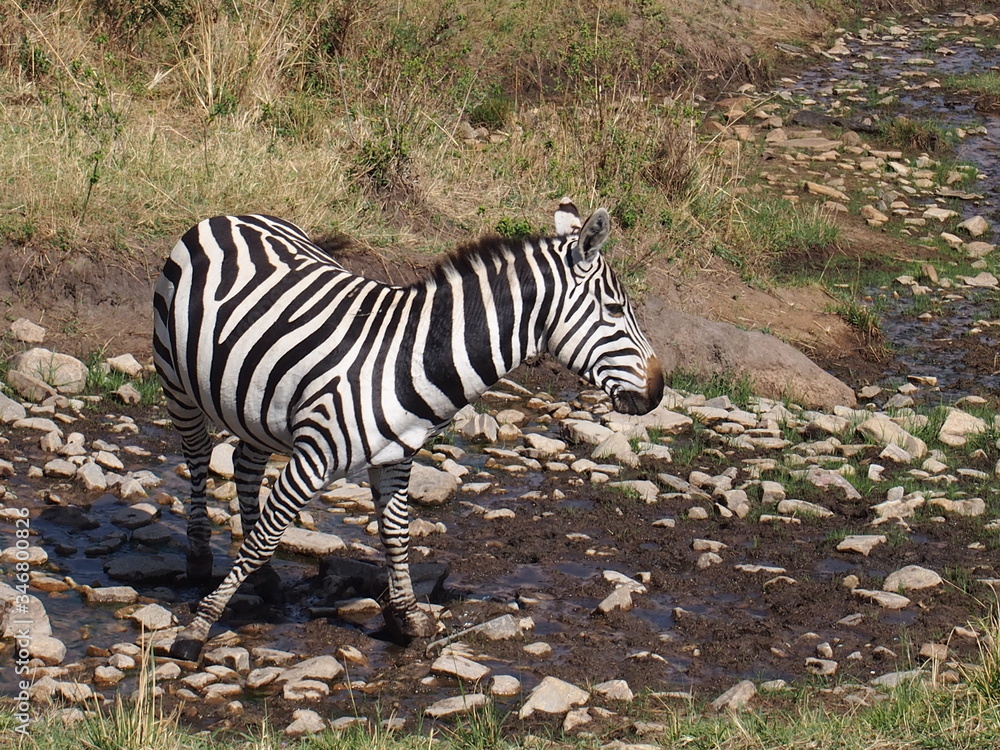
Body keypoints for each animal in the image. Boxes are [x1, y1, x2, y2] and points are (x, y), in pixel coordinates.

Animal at [153, 199, 664, 662]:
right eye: (615, 309)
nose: (659, 391)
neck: (408, 359)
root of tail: (231, 216)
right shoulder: (312, 457)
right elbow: (265, 539)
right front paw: (198, 628)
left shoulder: (396, 457)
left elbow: (396, 534)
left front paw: (407, 618)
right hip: (176, 380)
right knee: (198, 456)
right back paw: (198, 557)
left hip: (258, 402)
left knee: (244, 463)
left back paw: (262, 579)